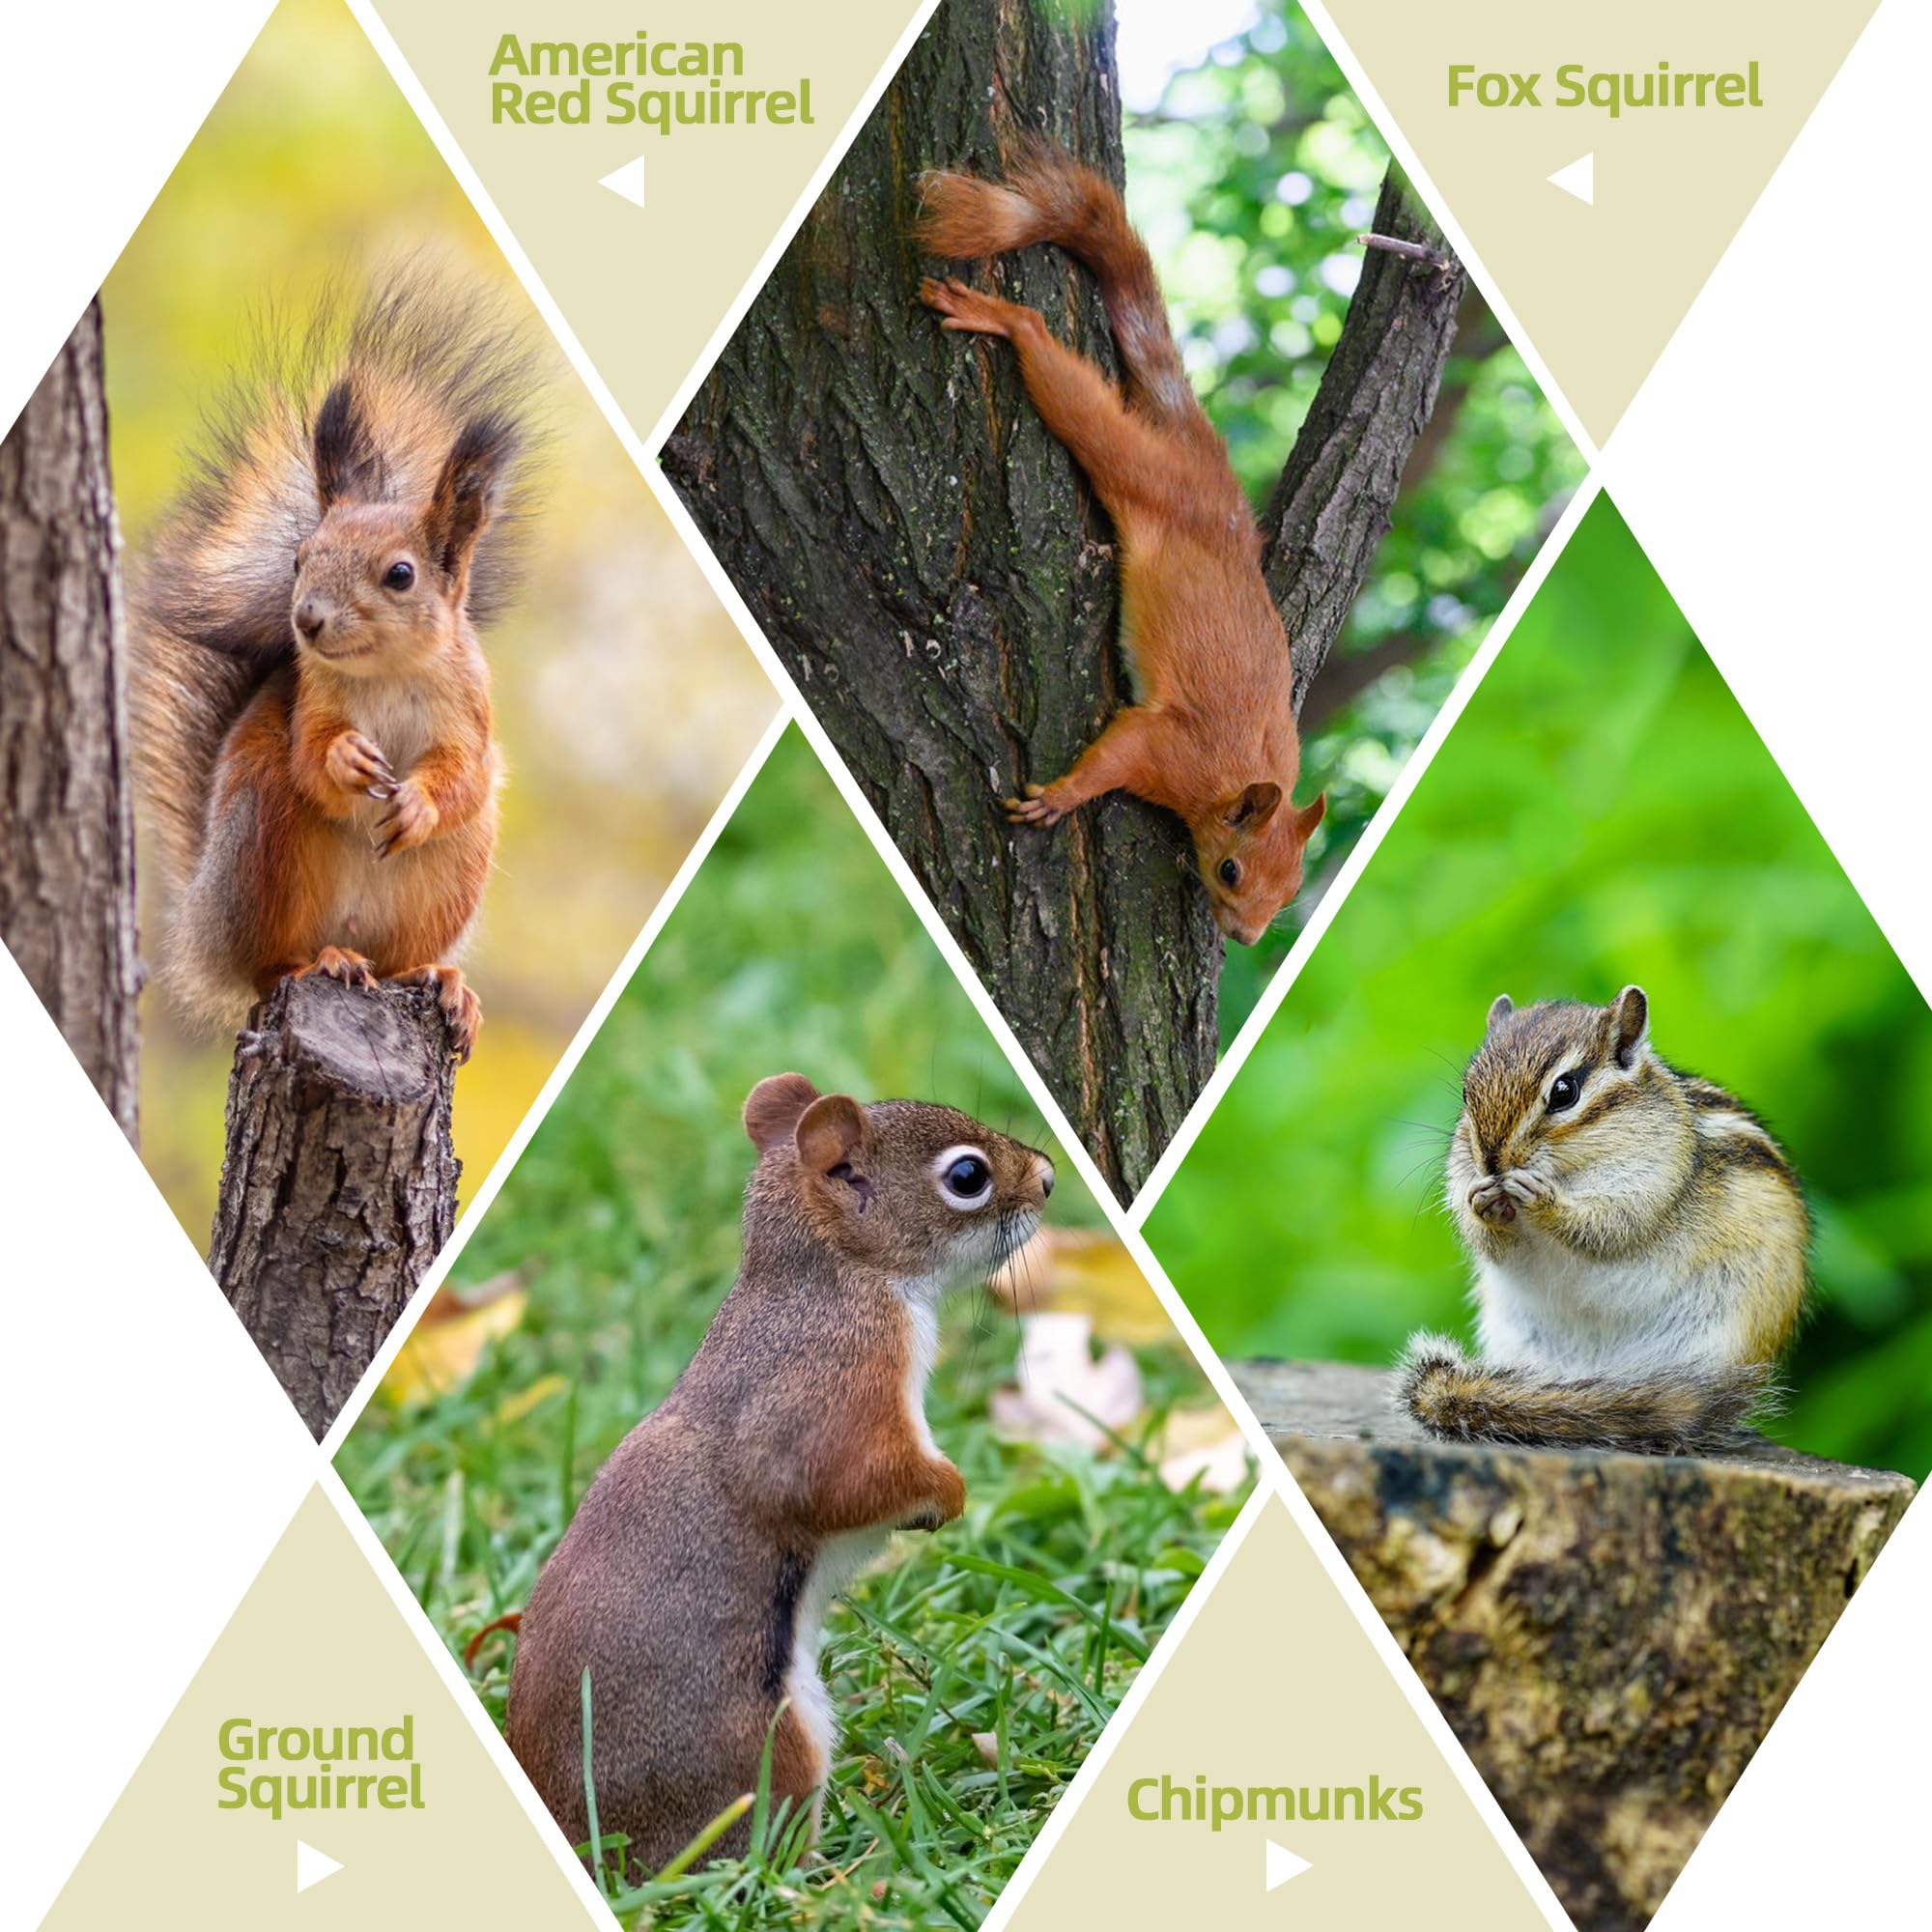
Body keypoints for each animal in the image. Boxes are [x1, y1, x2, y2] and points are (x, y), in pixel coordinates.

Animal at [128, 266, 543, 1060]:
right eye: (299, 559)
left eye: (401, 575)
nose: (306, 619)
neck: (387, 672)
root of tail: (202, 931)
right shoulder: (311, 700)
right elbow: (311, 756)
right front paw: (349, 760)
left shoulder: (470, 713)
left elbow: (464, 777)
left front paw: (417, 802)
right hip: (264, 840)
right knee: (269, 965)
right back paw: (319, 960)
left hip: (452, 873)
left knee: (402, 956)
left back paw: (440, 980)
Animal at [503, 1073, 1054, 1878]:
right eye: (966, 1177)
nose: (1047, 1178)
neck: (837, 1277)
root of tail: (590, 1845)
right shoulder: (833, 1389)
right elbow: (836, 1482)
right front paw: (946, 1495)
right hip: (767, 1757)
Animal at [916, 144, 1326, 946]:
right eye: (1232, 870)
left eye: (1292, 890)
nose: (1245, 937)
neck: (1231, 781)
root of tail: (1207, 472)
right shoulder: (1167, 750)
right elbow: (1116, 753)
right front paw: (1060, 797)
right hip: (1138, 470)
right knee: (1066, 383)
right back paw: (1000, 319)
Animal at [1401, 985, 1810, 1456]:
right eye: (1468, 1093)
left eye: (1564, 1091)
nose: (1490, 1163)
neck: (1573, 1170)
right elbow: (1492, 1243)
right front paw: (1483, 1206)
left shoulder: (1651, 1183)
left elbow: (1608, 1227)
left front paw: (1543, 1200)